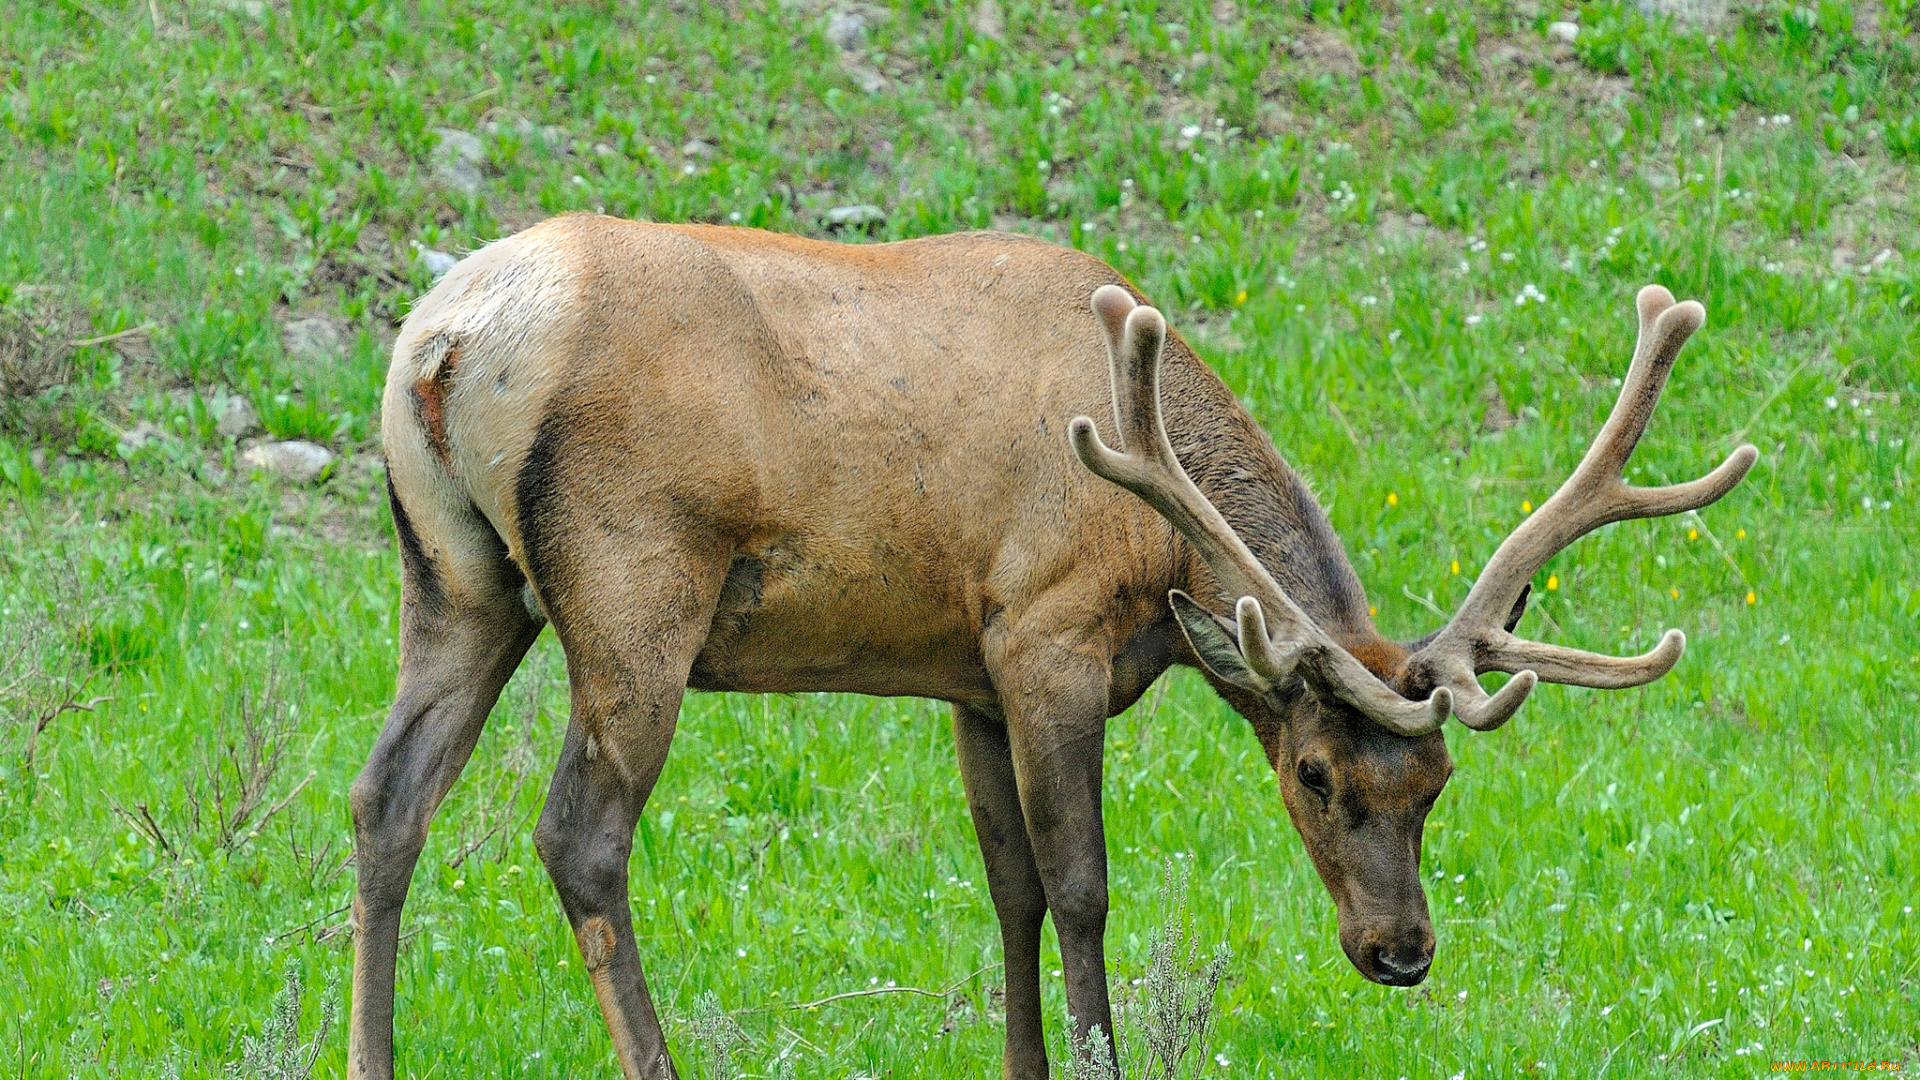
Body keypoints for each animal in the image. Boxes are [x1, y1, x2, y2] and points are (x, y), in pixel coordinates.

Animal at [345, 212, 1758, 1076]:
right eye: (1312, 774)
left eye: (1439, 784)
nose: (1400, 951)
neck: (1155, 542)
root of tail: (444, 341)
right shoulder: (1044, 633)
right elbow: (1080, 886)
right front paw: (1097, 1054)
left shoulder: (969, 674)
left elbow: (1008, 886)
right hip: (634, 582)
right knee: (580, 835)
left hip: (456, 576)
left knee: (385, 797)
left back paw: (372, 1053)